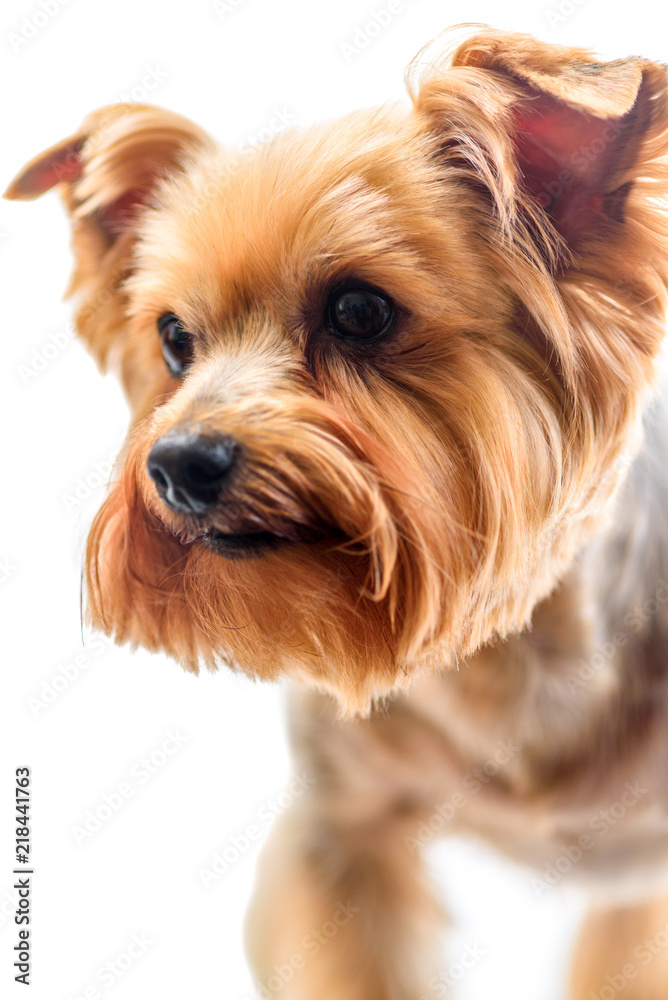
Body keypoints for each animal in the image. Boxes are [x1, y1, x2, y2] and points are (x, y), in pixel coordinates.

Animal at [7, 25, 668, 1000]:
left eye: (359, 310)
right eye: (174, 340)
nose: (178, 464)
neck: (500, 660)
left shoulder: (637, 884)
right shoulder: (341, 836)